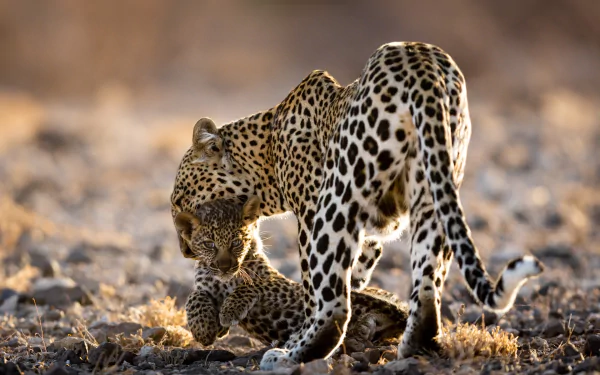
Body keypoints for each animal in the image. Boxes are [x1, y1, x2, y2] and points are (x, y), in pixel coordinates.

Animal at [170, 41, 544, 370]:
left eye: (178, 201)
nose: (185, 252)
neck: (267, 155)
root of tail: (420, 60)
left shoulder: (311, 210)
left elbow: (316, 287)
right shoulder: (373, 232)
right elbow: (357, 274)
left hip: (336, 198)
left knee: (333, 305)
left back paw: (292, 355)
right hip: (435, 187)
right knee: (426, 288)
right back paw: (413, 346)